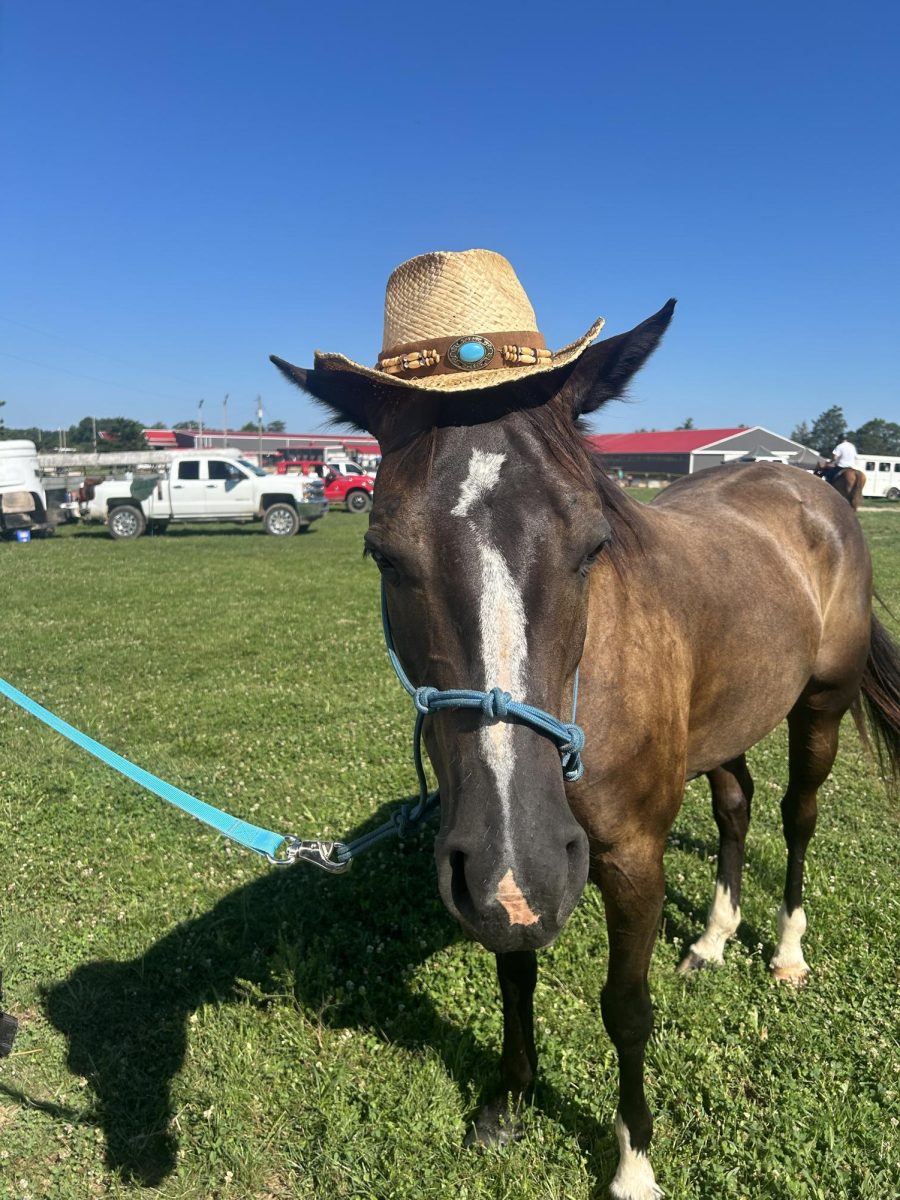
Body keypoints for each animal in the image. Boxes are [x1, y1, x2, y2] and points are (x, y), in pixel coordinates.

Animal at [273, 307, 900, 1200]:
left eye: (593, 543)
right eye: (384, 554)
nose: (520, 860)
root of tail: (812, 488)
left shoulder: (633, 860)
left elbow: (626, 1008)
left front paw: (633, 1162)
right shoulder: (496, 878)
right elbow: (514, 970)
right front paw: (509, 1103)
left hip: (820, 709)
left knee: (799, 817)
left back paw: (785, 953)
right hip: (723, 727)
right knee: (737, 806)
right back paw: (712, 940)